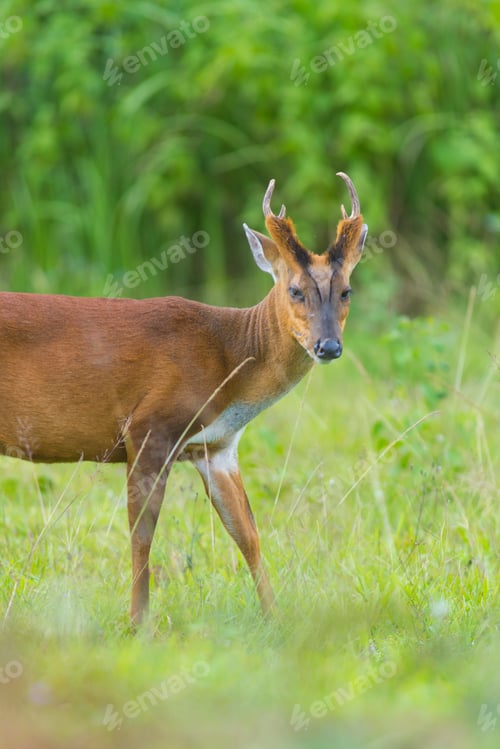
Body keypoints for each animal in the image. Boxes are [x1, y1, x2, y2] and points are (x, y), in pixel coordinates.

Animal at [0, 172, 367, 626]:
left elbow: (248, 534)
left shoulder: (217, 447)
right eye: (296, 290)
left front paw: (275, 617)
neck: (227, 358)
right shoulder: (149, 428)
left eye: (347, 290)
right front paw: (138, 623)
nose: (329, 346)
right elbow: (142, 534)